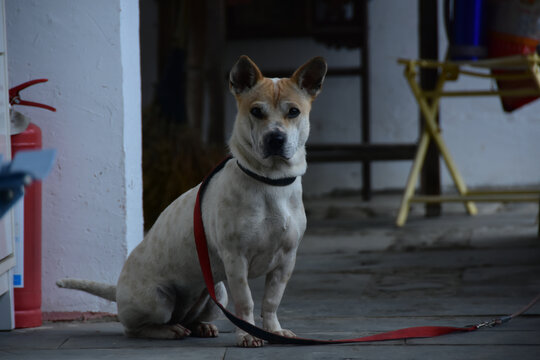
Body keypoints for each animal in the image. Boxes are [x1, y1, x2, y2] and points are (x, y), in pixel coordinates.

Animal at [58, 55, 330, 346]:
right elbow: (246, 302)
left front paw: (274, 331)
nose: (275, 138)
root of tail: (118, 289)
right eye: (256, 111)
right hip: (159, 300)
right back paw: (167, 330)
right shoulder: (236, 260)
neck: (270, 181)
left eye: (294, 112)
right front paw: (248, 333)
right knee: (137, 328)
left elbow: (271, 302)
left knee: (191, 317)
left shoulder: (286, 261)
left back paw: (201, 326)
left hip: (216, 293)